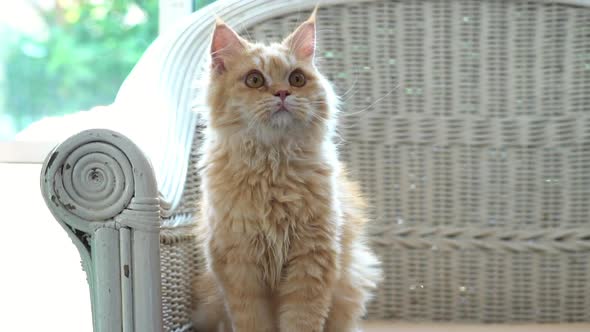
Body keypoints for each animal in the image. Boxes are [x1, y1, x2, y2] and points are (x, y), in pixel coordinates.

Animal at [192, 8, 382, 332]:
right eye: (254, 79)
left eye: (297, 79)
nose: (282, 93)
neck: (273, 166)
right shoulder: (239, 265)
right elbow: (252, 321)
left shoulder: (312, 259)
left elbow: (301, 320)